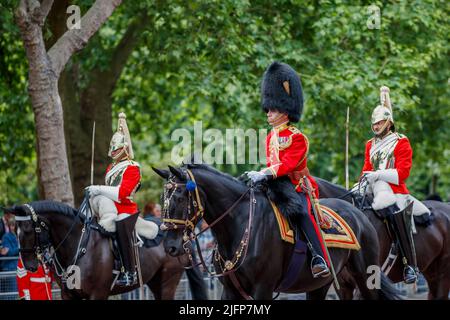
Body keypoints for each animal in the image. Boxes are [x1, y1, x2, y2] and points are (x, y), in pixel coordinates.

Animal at [4, 200, 186, 300]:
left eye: (28, 230)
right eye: (15, 230)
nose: (28, 265)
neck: (80, 247)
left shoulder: (98, 294)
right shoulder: (68, 295)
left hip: (168, 281)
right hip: (155, 282)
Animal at [153, 164, 402, 302]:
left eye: (179, 198)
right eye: (162, 198)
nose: (170, 247)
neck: (240, 226)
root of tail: (359, 212)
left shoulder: (263, 289)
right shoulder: (231, 291)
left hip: (365, 277)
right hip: (327, 283)